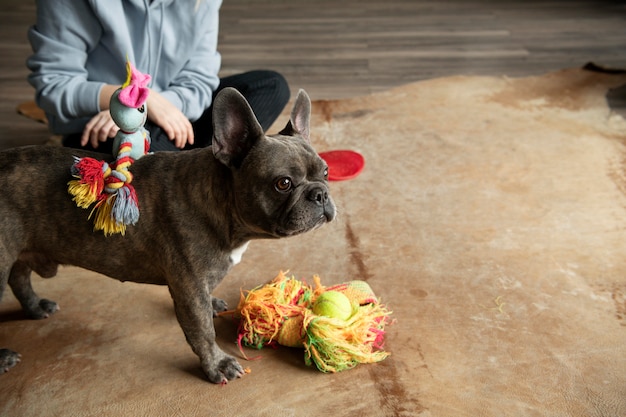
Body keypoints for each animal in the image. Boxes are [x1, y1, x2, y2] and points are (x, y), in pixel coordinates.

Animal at [0, 88, 334, 384]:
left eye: (326, 172)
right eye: (283, 183)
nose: (321, 194)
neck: (220, 203)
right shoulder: (188, 287)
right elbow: (201, 330)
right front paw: (217, 365)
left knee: (20, 277)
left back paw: (35, 307)